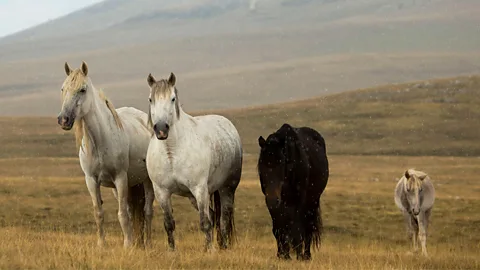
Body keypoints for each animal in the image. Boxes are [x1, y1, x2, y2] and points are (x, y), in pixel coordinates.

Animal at [56, 61, 155, 249]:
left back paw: (146, 243)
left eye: (82, 89)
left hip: (146, 181)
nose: (63, 120)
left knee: (147, 211)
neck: (100, 141)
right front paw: (101, 244)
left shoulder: (120, 178)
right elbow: (99, 213)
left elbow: (122, 214)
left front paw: (127, 245)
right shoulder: (91, 180)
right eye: (63, 89)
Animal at [144, 71, 242, 251]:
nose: (161, 129)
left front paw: (209, 251)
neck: (172, 153)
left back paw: (223, 247)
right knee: (214, 215)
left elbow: (205, 223)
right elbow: (169, 224)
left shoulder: (199, 189)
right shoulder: (162, 192)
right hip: (192, 197)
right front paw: (172, 250)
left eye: (172, 98)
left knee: (223, 219)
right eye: (150, 99)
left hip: (227, 188)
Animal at [256, 123, 328, 260]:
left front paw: (298, 255)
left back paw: (306, 255)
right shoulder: (276, 205)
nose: (272, 199)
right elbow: (278, 228)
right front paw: (282, 255)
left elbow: (297, 229)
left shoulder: (299, 200)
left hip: (312, 202)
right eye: (261, 164)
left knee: (308, 226)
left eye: (281, 163)